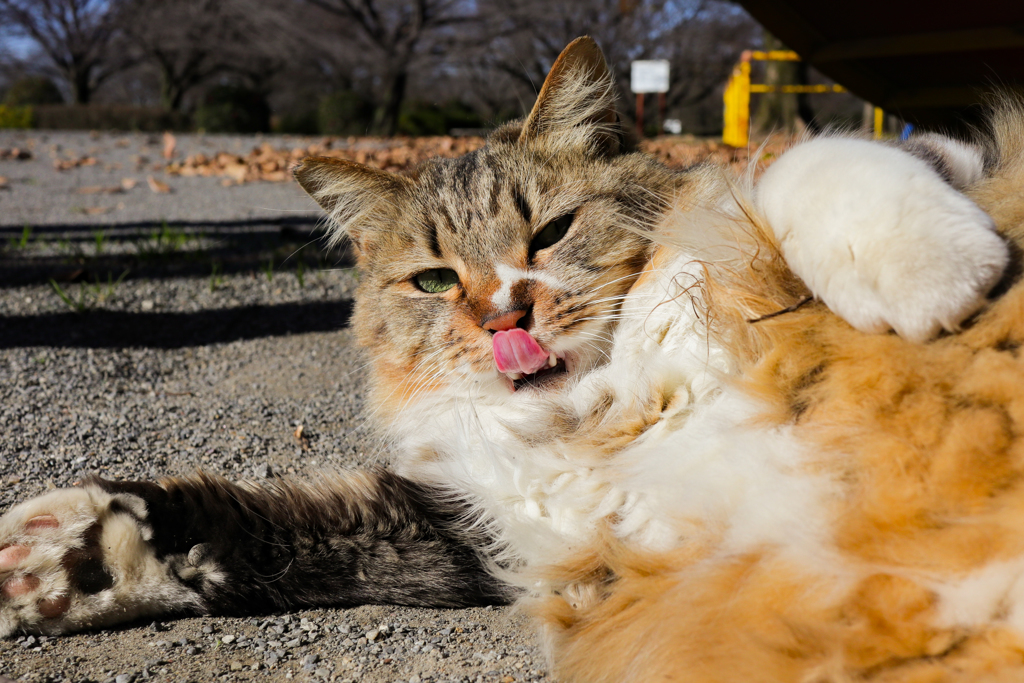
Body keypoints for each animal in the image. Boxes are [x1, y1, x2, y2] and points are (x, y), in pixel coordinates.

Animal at [2, 37, 1024, 683]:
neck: (609, 405)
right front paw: (75, 558)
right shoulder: (483, 519)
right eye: (432, 280)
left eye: (553, 231)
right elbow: (272, 528)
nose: (504, 315)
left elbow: (816, 162)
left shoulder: (954, 161)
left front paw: (929, 271)